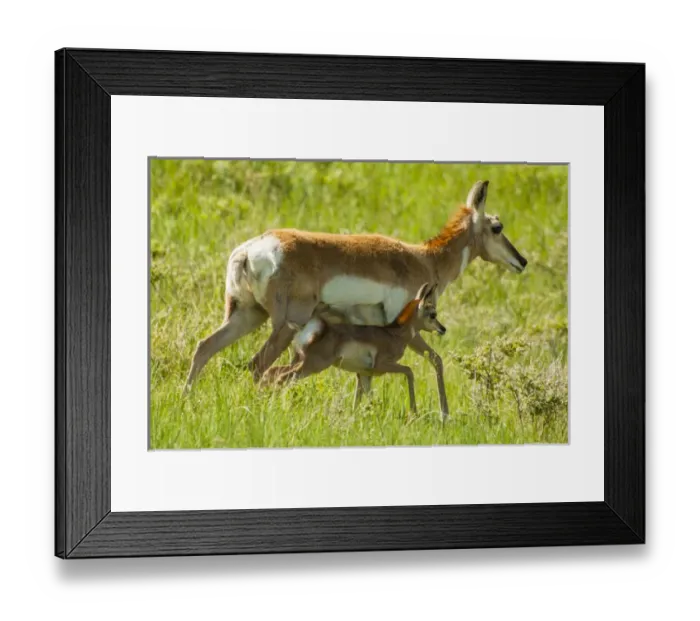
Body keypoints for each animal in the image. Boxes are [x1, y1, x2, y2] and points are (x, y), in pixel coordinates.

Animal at [260, 283, 446, 415]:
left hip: (301, 362)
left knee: (272, 372)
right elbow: (409, 371)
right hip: (312, 366)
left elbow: (361, 398)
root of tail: (316, 328)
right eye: (433, 314)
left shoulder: (364, 374)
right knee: (282, 377)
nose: (443, 329)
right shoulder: (383, 365)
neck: (393, 333)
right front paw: (414, 411)